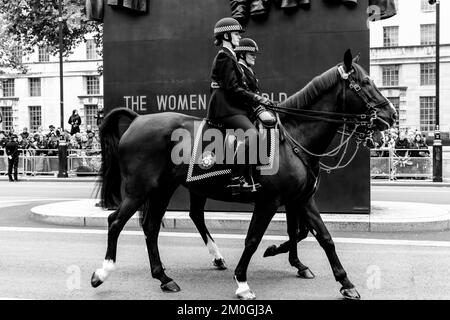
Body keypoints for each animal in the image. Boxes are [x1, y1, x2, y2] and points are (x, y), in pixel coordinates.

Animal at [90, 50, 394, 300]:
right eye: (364, 83)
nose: (390, 115)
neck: (294, 138)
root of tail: (138, 119)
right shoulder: (269, 202)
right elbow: (254, 239)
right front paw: (243, 281)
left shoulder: (302, 200)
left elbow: (323, 237)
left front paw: (345, 283)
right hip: (139, 190)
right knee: (116, 222)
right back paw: (102, 273)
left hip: (164, 189)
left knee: (153, 226)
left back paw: (165, 277)